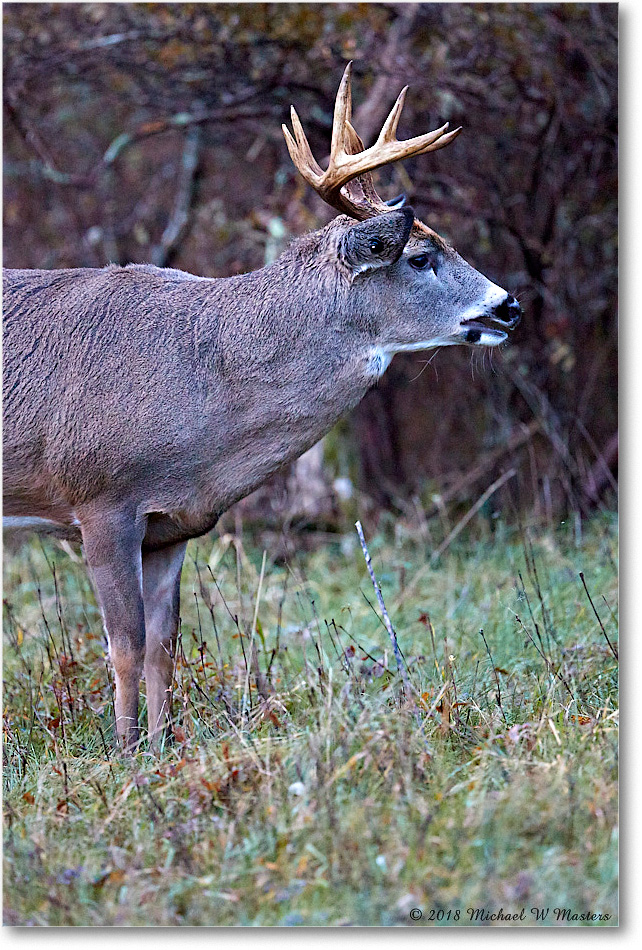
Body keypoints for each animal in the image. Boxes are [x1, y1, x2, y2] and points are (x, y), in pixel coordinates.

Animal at [2, 65, 516, 752]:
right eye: (420, 257)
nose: (510, 305)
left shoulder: (171, 524)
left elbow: (163, 645)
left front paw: (163, 751)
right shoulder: (100, 501)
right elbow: (124, 647)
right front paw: (124, 754)